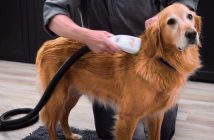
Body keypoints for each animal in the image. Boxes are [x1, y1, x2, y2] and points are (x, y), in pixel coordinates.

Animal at [36, 3, 201, 140]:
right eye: (171, 21)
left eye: (190, 16)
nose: (192, 34)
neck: (159, 60)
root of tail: (48, 43)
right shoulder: (127, 118)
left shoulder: (156, 115)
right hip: (56, 96)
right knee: (50, 123)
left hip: (72, 94)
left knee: (63, 116)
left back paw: (70, 135)